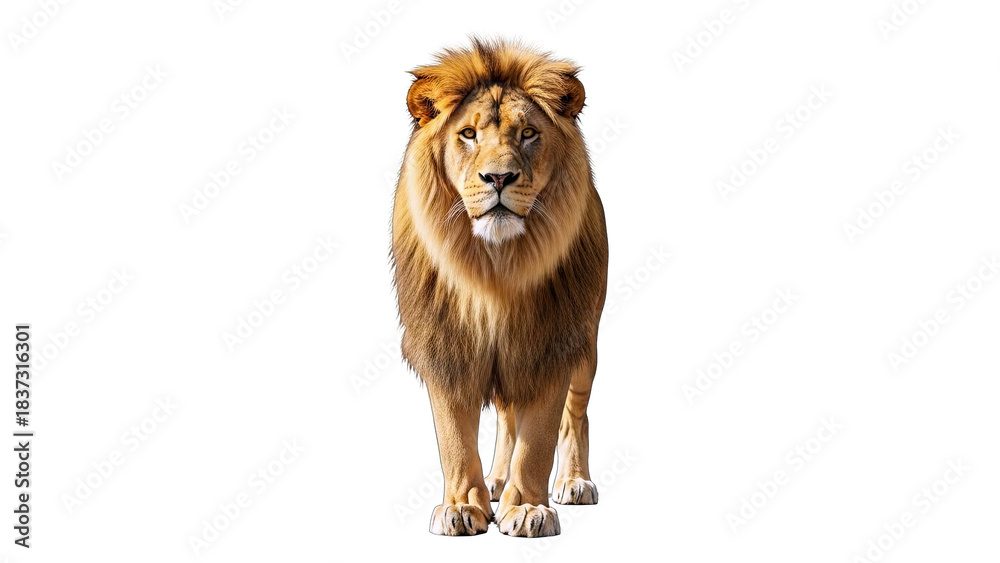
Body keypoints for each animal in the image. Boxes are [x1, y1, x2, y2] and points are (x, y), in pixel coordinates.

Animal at [391, 38, 608, 538]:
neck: (495, 268)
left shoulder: (551, 342)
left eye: (528, 133)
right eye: (468, 134)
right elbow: (454, 437)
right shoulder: (446, 344)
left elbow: (540, 438)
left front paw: (527, 508)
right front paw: (461, 506)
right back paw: (495, 480)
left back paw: (573, 481)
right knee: (509, 417)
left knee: (576, 414)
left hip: (586, 342)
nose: (499, 178)